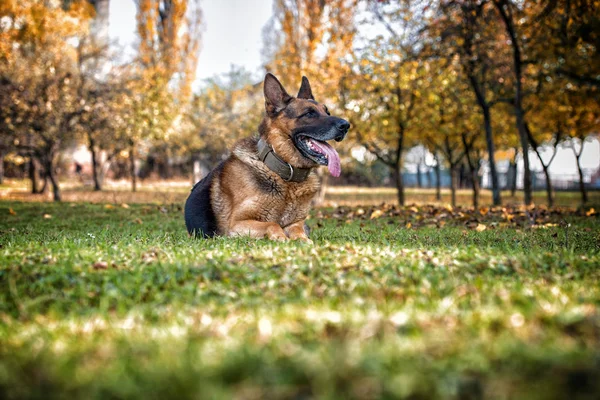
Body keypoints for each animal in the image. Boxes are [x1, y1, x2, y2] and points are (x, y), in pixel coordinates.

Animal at [185, 72, 350, 241]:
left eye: (327, 112)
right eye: (309, 113)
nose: (346, 125)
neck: (283, 173)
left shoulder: (296, 223)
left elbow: (299, 232)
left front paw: (303, 240)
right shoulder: (236, 225)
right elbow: (272, 223)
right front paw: (281, 237)